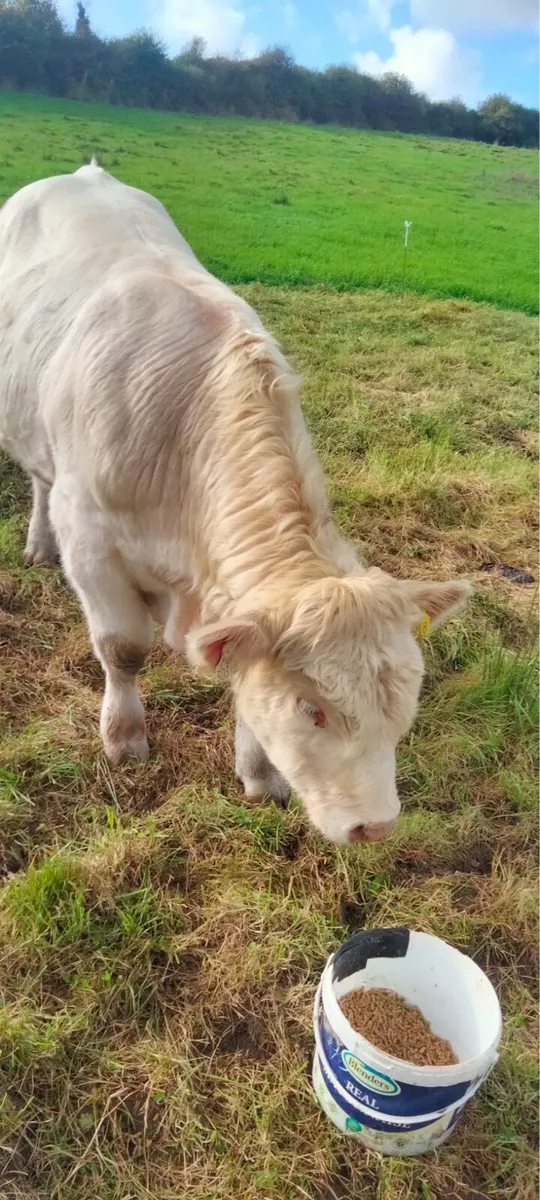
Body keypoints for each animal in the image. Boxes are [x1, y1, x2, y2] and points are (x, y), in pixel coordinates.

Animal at [0, 164, 470, 844]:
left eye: (406, 695)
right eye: (310, 707)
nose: (377, 827)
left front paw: (260, 774)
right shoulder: (90, 543)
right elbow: (123, 649)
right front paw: (125, 741)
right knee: (38, 479)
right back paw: (38, 544)